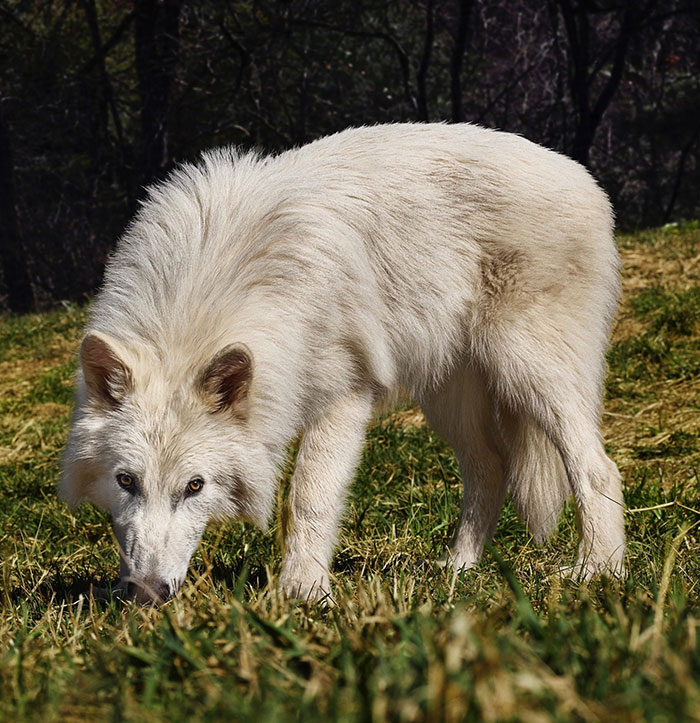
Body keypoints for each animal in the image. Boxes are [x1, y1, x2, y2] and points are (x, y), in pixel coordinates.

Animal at [60, 123, 624, 604]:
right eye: (126, 481)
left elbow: (309, 497)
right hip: (449, 398)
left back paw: (599, 570)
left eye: (195, 486)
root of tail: (582, 176)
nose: (146, 594)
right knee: (491, 469)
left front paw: (304, 592)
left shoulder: (344, 398)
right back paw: (458, 570)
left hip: (530, 372)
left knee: (597, 467)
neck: (211, 288)